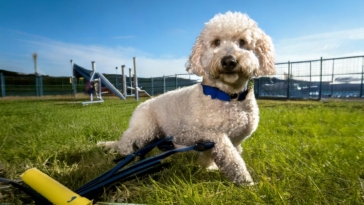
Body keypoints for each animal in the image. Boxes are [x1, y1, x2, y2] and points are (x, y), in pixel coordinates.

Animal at [102, 11, 272, 186]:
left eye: (243, 42)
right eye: (216, 42)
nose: (228, 61)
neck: (227, 96)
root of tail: (142, 104)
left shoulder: (238, 137)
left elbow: (224, 150)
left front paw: (207, 165)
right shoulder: (186, 133)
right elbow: (221, 141)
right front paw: (241, 176)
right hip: (145, 129)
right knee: (126, 138)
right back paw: (125, 152)